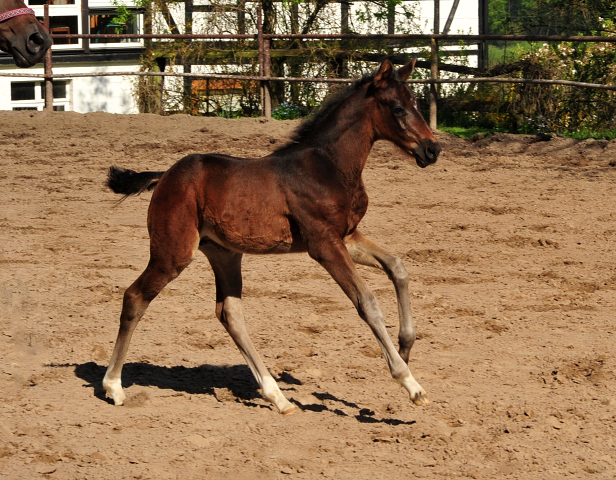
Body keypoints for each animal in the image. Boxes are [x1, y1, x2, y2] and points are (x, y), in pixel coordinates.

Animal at [107, 60, 442, 412]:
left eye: (416, 104)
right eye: (397, 108)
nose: (432, 149)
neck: (329, 167)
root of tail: (164, 177)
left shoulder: (347, 236)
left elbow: (397, 267)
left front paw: (406, 347)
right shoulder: (323, 243)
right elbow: (367, 301)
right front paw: (409, 382)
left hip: (224, 253)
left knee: (229, 313)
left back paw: (277, 396)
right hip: (173, 253)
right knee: (135, 297)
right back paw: (113, 386)